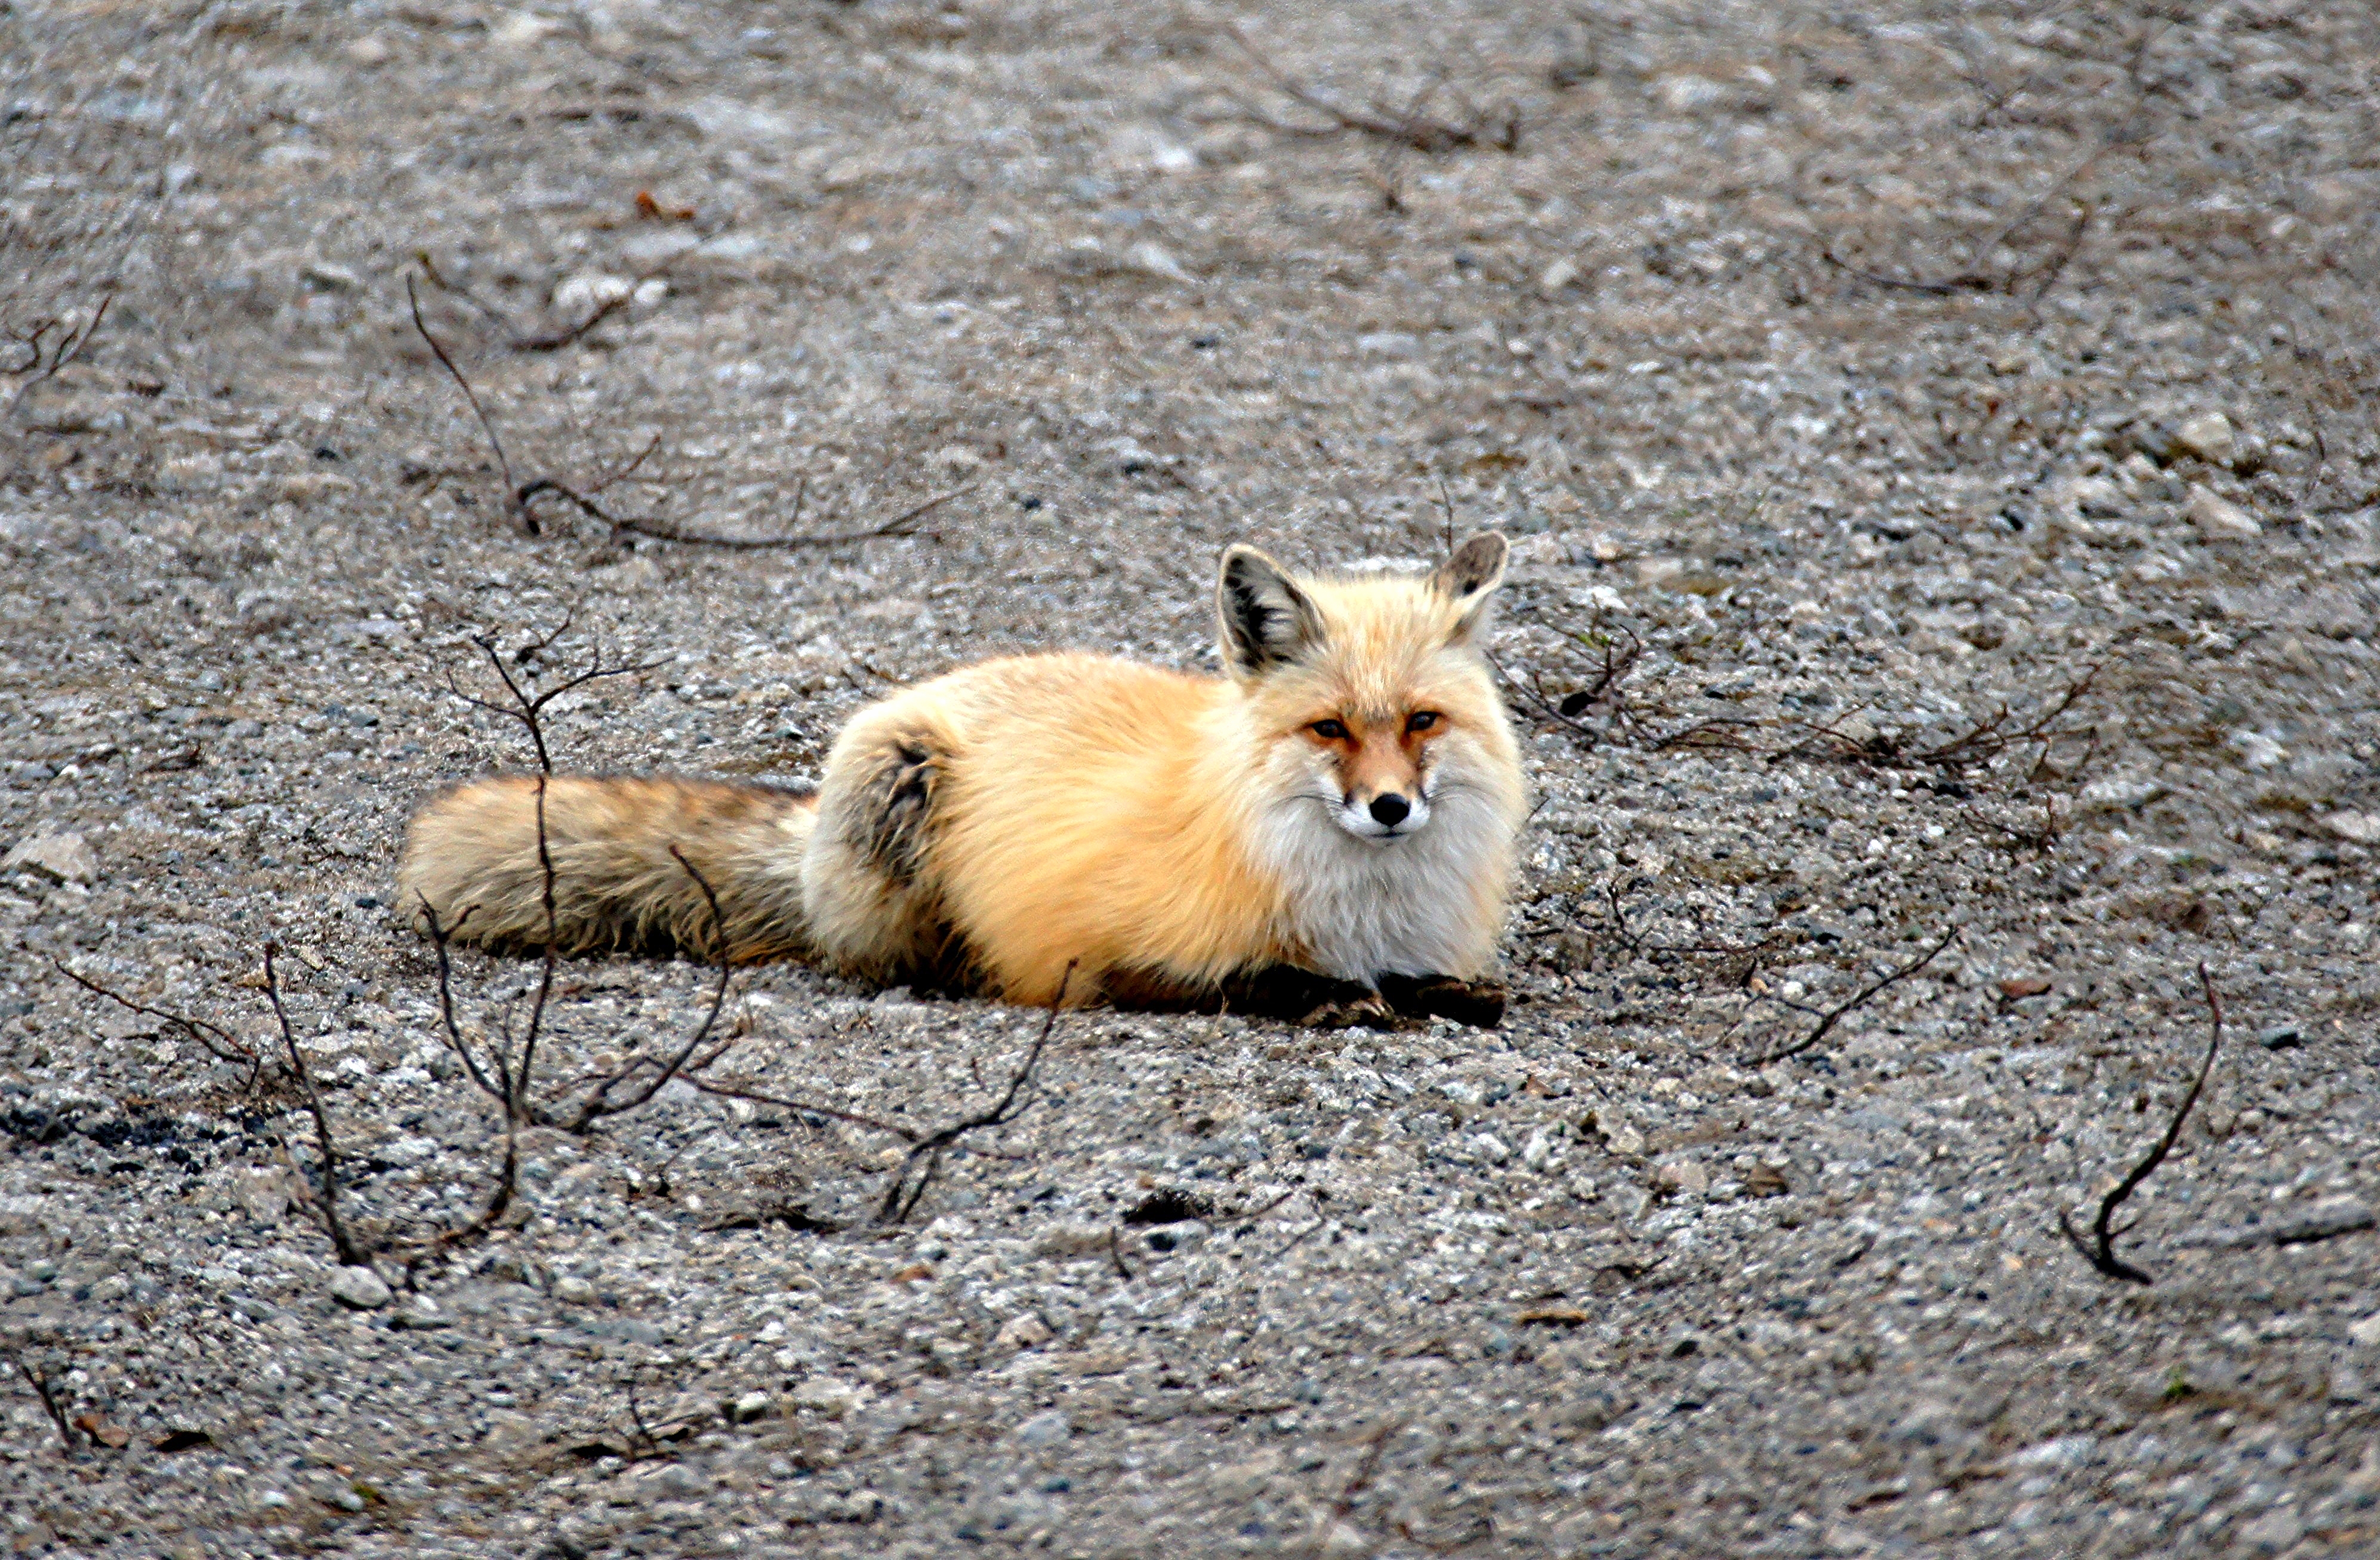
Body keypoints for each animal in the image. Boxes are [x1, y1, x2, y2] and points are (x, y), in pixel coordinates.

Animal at [395, 533, 1523, 1024]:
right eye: (1329, 728)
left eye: (1420, 722)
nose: (1389, 807)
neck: (1358, 903)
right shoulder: (1096, 953)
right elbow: (1247, 979)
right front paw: (1329, 997)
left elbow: (1440, 984)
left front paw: (1435, 991)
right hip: (898, 793)